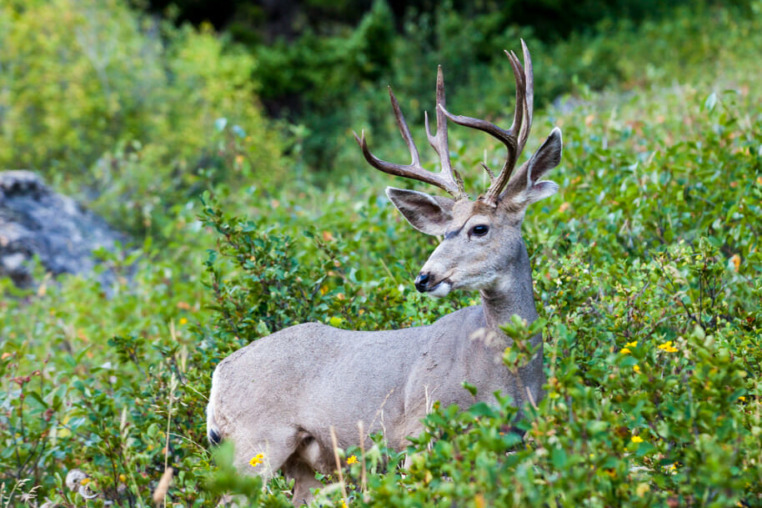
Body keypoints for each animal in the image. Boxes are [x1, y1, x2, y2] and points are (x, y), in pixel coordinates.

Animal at [206, 41, 562, 505]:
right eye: (444, 231)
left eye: (479, 228)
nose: (424, 278)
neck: (505, 372)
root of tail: (217, 377)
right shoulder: (422, 431)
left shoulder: (512, 440)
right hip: (255, 443)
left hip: (304, 462)